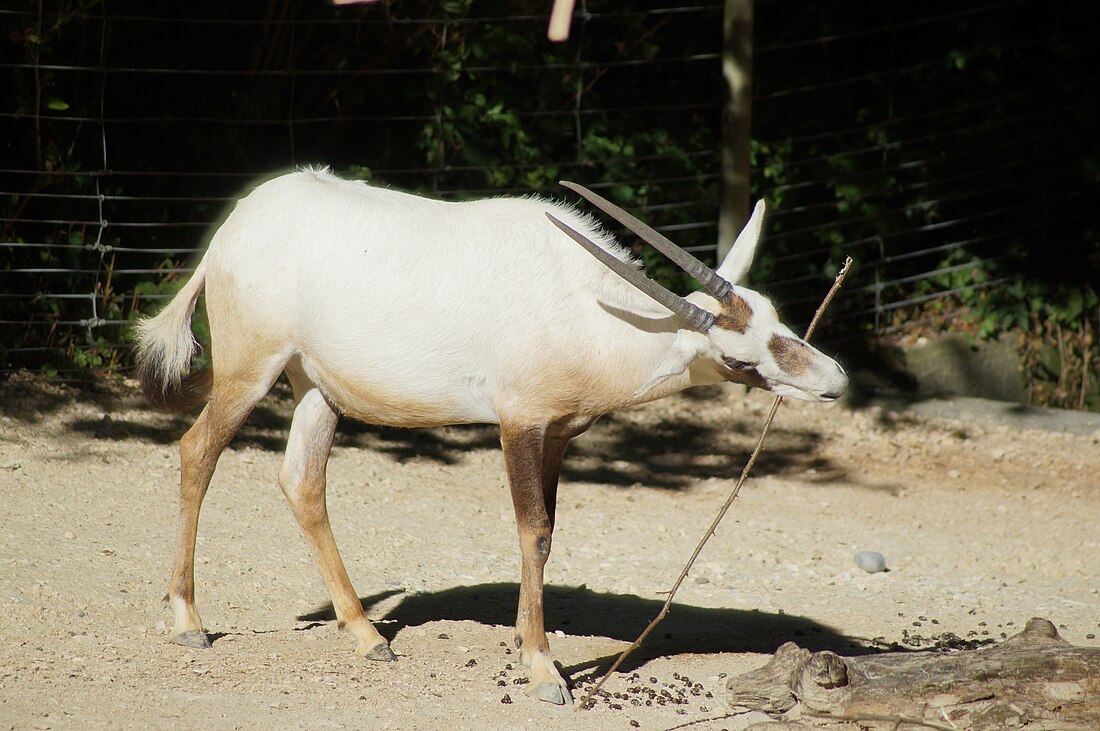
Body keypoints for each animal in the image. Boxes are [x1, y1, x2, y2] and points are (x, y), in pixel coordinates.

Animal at [133, 168, 844, 703]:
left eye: (775, 317)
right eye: (740, 360)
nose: (833, 381)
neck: (585, 306)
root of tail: (235, 226)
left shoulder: (557, 434)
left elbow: (547, 536)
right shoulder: (519, 424)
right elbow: (533, 533)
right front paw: (542, 669)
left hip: (314, 386)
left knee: (301, 481)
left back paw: (366, 635)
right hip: (250, 369)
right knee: (198, 452)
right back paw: (189, 622)